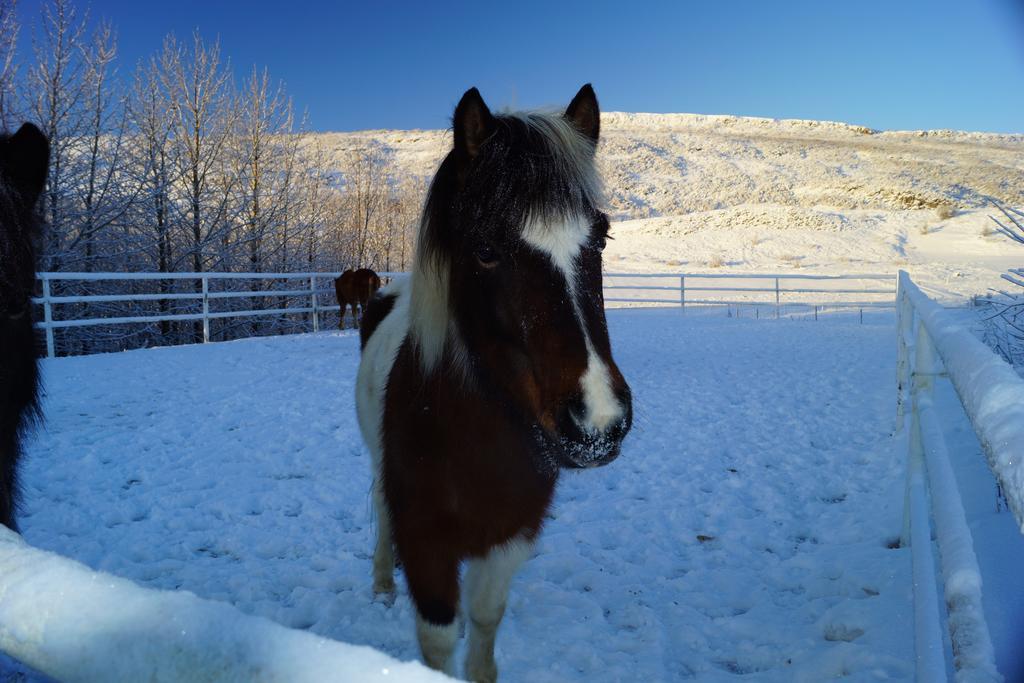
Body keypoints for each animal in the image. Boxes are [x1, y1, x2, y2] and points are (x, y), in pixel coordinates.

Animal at [354, 87, 630, 683]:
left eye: (601, 237)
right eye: (484, 250)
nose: (597, 423)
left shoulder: (510, 535)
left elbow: (484, 618)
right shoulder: (425, 541)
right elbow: (436, 639)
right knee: (381, 514)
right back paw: (383, 584)